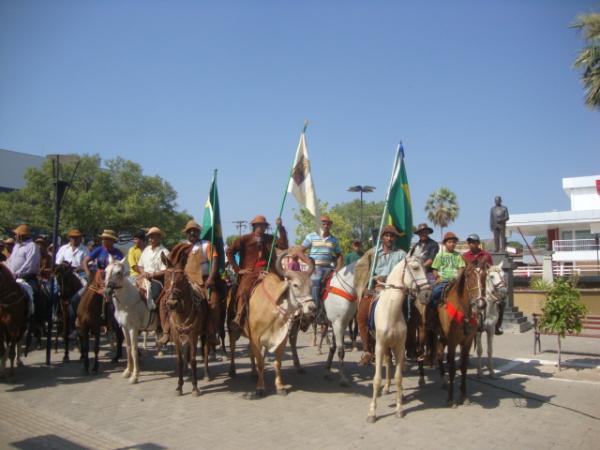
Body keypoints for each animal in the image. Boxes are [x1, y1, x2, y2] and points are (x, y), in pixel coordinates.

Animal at [104, 256, 159, 384]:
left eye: (119, 272)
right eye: (105, 271)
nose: (107, 291)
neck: (127, 303)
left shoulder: (133, 328)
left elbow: (134, 350)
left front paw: (135, 376)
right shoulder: (124, 328)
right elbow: (128, 349)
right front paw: (127, 372)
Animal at [162, 244, 209, 396]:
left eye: (182, 279)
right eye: (165, 277)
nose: (171, 303)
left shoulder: (194, 335)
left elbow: (194, 360)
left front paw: (195, 387)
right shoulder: (177, 335)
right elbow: (180, 361)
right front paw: (179, 386)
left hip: (204, 333)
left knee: (205, 351)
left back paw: (207, 374)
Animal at [366, 255, 432, 424]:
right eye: (415, 268)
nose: (427, 295)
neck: (390, 311)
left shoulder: (400, 346)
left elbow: (399, 378)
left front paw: (399, 408)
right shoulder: (380, 346)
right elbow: (377, 379)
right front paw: (372, 413)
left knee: (395, 365)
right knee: (388, 362)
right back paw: (385, 388)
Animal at [434, 258, 486, 406]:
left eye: (484, 276)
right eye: (469, 276)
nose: (481, 304)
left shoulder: (467, 342)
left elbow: (463, 367)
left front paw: (464, 395)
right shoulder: (452, 342)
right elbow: (452, 368)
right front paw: (451, 397)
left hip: (442, 338)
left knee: (439, 354)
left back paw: (443, 381)